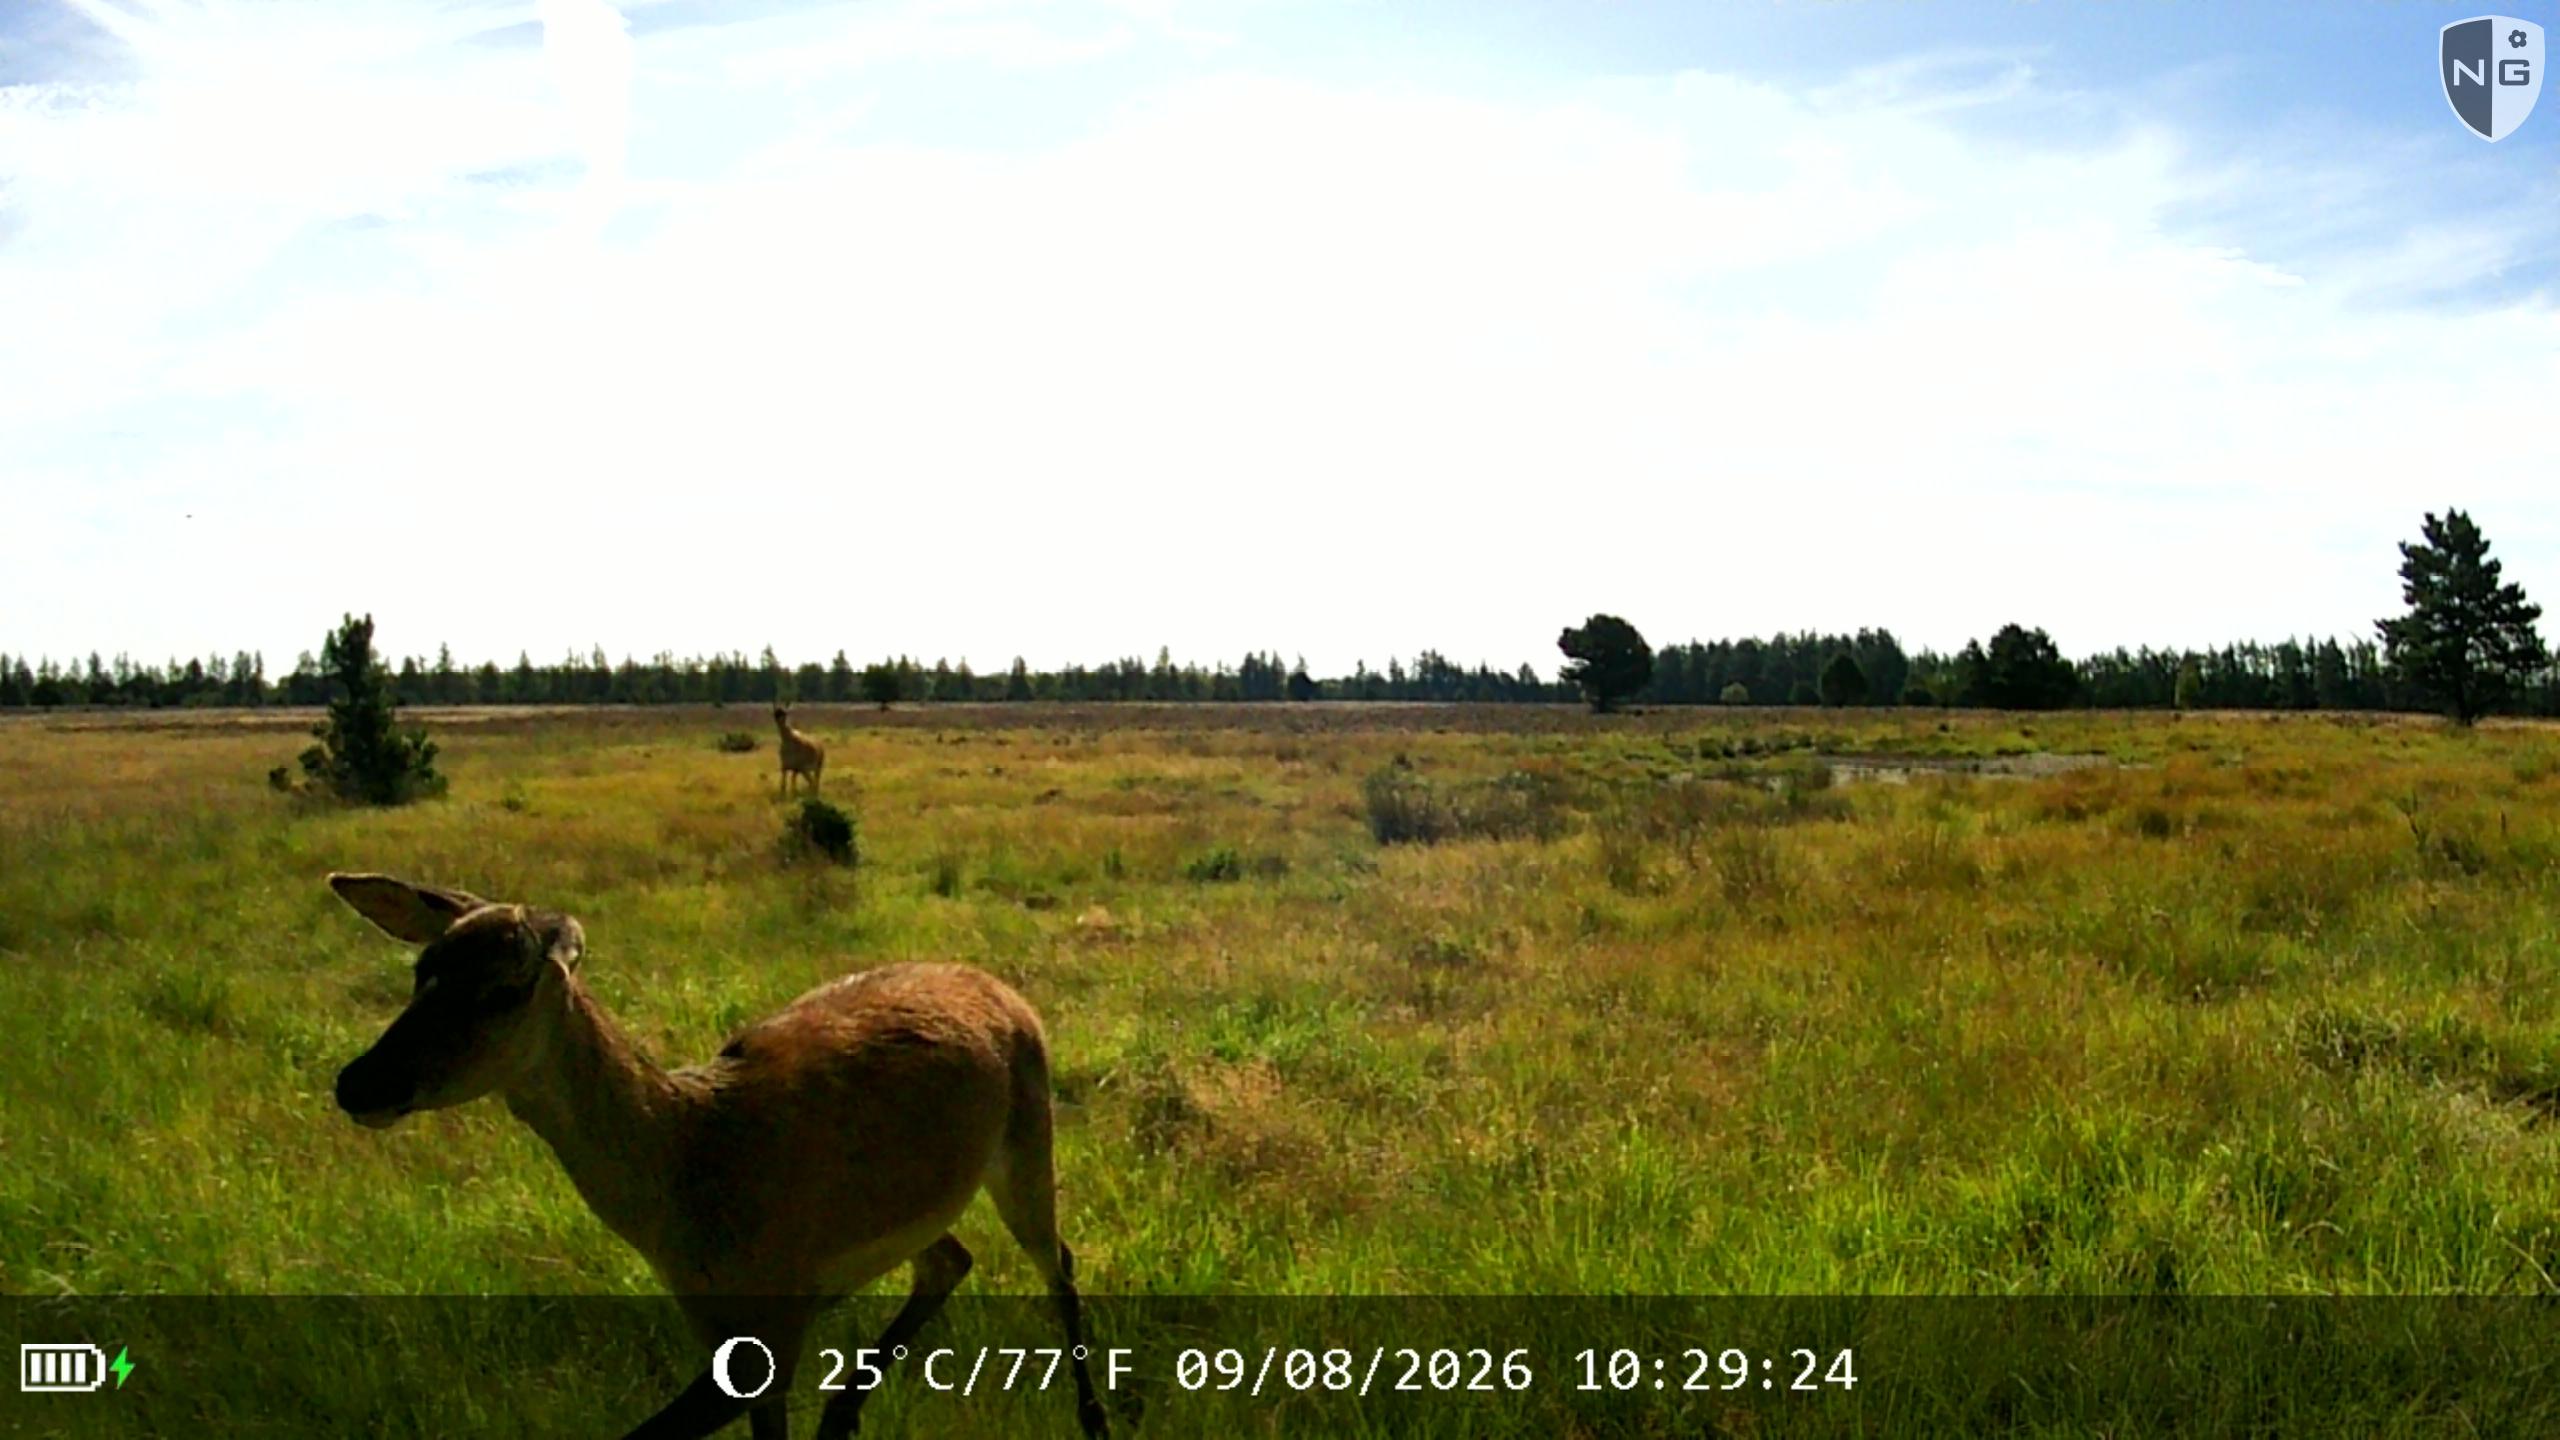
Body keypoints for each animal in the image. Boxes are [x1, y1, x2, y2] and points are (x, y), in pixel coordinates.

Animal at [327, 872, 1109, 1440]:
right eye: (422, 969)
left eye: (503, 989)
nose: (359, 1081)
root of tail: (1001, 988)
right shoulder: (723, 1324)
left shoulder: (774, 1320)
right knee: (950, 1260)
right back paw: (840, 1416)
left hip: (1028, 1139)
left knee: (1057, 1260)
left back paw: (1093, 1421)